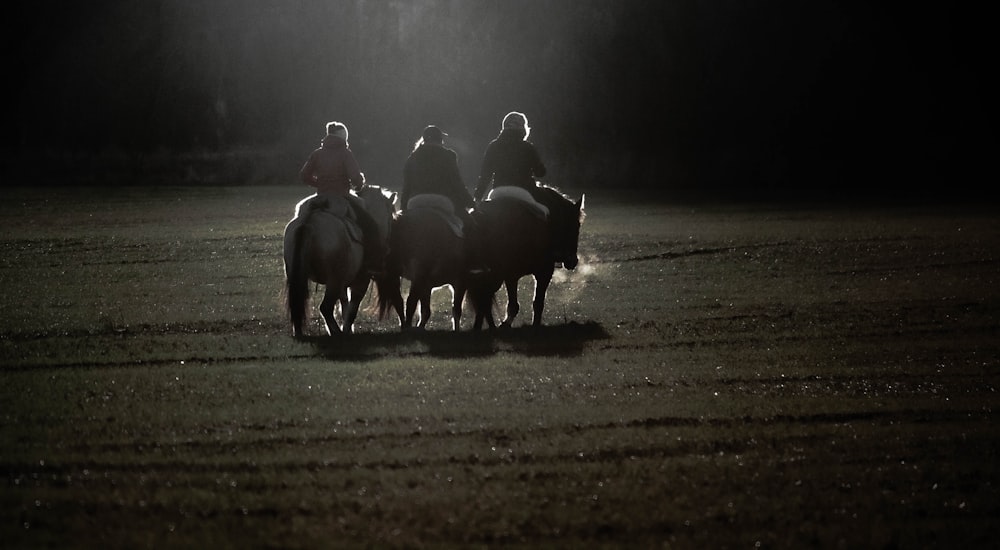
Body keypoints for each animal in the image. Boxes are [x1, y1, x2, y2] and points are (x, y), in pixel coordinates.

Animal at [470, 185, 584, 332]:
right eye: (576, 226)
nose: (573, 261)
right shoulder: (544, 272)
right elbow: (537, 303)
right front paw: (534, 325)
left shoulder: (511, 276)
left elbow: (513, 305)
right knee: (484, 300)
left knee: (484, 302)